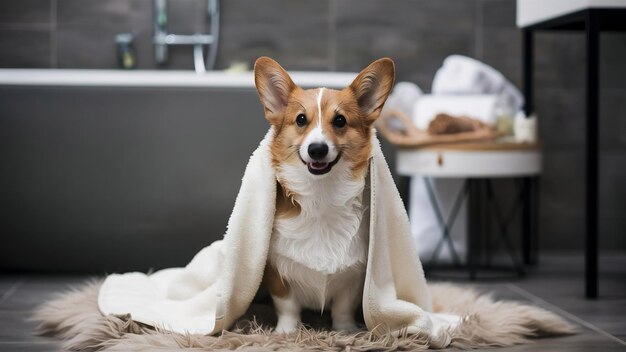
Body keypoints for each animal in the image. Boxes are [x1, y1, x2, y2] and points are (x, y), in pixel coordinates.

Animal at [252, 56, 390, 332]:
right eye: (300, 119)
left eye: (340, 121)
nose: (317, 149)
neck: (321, 195)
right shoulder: (276, 271)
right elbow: (288, 306)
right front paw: (286, 332)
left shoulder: (354, 277)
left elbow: (342, 308)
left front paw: (345, 331)